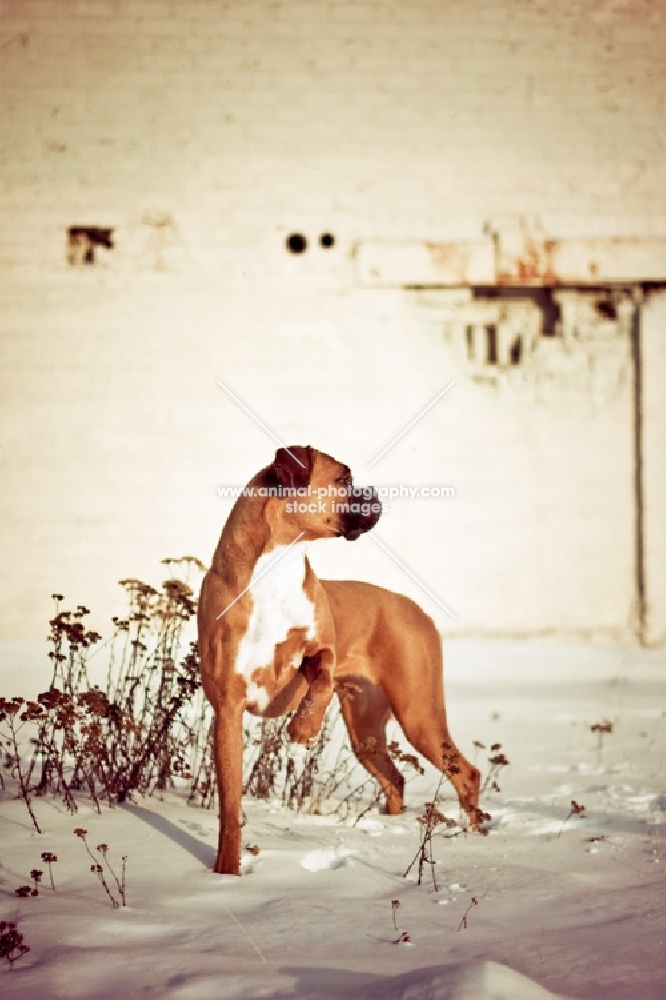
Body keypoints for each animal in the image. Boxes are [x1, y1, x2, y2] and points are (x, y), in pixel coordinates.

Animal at [195, 446, 480, 876]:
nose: (374, 493)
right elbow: (229, 806)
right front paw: (226, 872)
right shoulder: (228, 709)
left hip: (419, 716)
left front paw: (303, 730)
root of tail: (413, 607)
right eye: (343, 479)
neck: (276, 569)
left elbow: (323, 674)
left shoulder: (318, 650)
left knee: (466, 774)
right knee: (395, 779)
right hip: (368, 732)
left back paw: (476, 836)